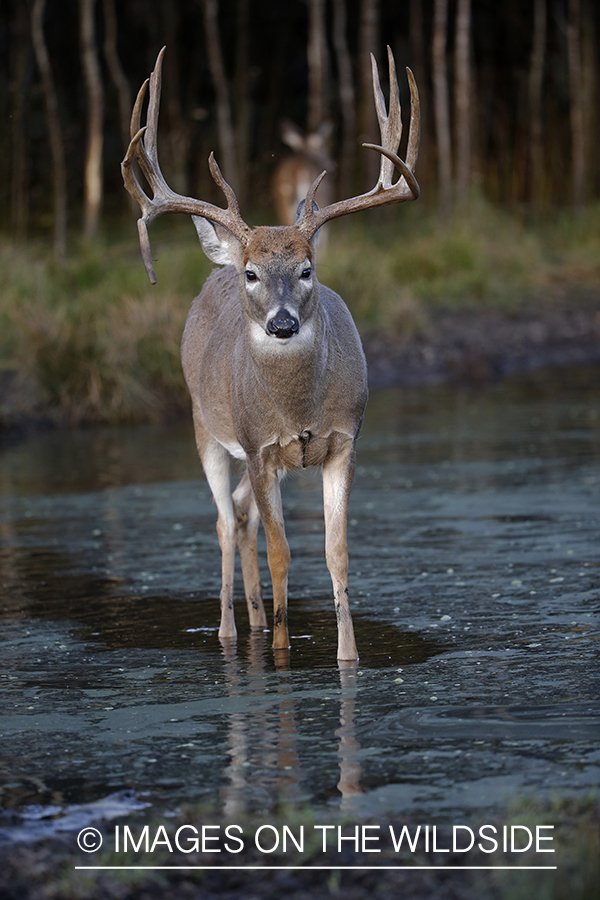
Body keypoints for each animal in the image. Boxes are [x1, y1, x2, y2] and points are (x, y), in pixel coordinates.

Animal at [122, 45, 420, 656]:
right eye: (254, 274)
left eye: (307, 269)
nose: (282, 323)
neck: (298, 407)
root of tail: (213, 268)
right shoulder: (258, 445)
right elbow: (282, 555)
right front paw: (282, 654)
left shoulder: (343, 440)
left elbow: (336, 554)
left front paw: (348, 658)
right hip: (203, 425)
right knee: (222, 520)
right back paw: (231, 630)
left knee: (241, 513)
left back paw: (257, 619)